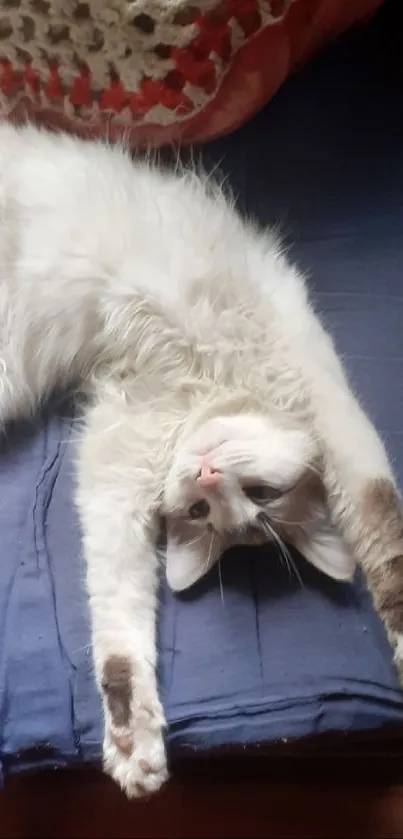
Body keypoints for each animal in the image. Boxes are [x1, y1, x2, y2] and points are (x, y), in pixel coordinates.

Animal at [0, 124, 403, 800]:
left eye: (203, 511)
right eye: (263, 495)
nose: (208, 475)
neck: (203, 384)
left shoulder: (114, 456)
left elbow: (120, 610)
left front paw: (133, 742)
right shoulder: (330, 406)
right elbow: (383, 521)